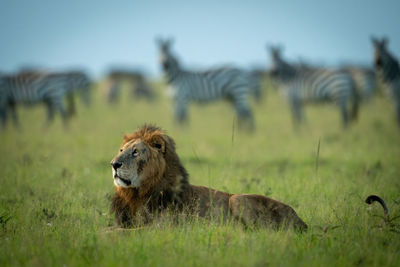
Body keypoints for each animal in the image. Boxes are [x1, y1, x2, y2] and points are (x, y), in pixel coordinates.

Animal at [108, 124, 306, 231]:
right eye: (121, 150)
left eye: (135, 152)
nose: (113, 164)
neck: (136, 194)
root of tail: (302, 222)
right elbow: (113, 228)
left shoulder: (161, 228)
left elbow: (120, 232)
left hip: (237, 199)